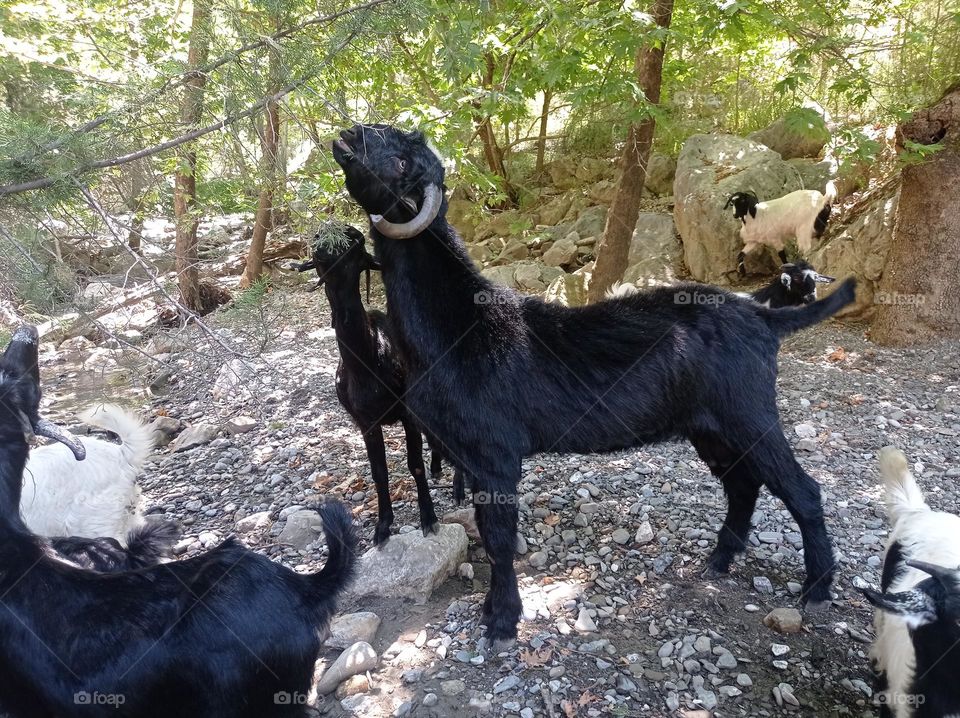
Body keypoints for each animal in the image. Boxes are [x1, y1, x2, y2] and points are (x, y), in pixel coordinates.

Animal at [294, 222, 449, 544]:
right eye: (319, 260)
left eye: (357, 253)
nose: (326, 239)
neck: (368, 361)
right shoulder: (365, 422)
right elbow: (379, 472)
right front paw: (383, 526)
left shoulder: (406, 414)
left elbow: (414, 465)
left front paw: (429, 518)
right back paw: (438, 466)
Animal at [332, 122, 857, 647]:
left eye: (401, 162)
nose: (349, 133)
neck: (459, 322)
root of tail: (765, 319)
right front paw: (492, 611)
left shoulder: (495, 456)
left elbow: (497, 538)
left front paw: (502, 620)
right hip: (710, 429)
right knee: (743, 485)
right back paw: (719, 561)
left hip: (749, 415)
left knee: (801, 490)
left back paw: (816, 587)